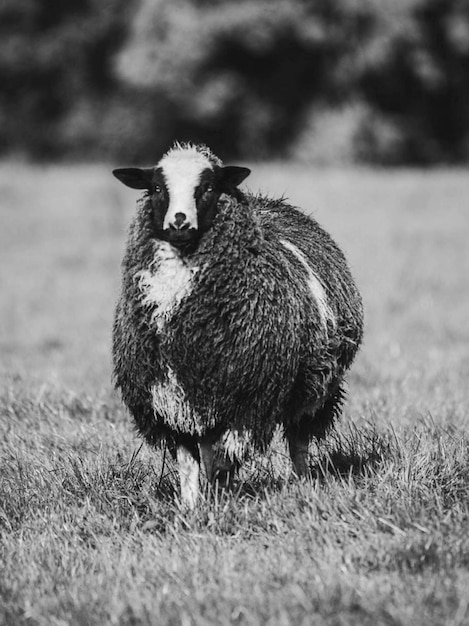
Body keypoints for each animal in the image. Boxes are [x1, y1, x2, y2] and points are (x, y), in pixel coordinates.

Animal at [112, 141, 362, 508]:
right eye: (157, 187)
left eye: (208, 187)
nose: (179, 223)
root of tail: (271, 203)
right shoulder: (169, 399)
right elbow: (189, 462)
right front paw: (191, 508)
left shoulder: (250, 399)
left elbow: (223, 460)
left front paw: (219, 499)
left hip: (314, 385)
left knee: (298, 437)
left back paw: (303, 482)